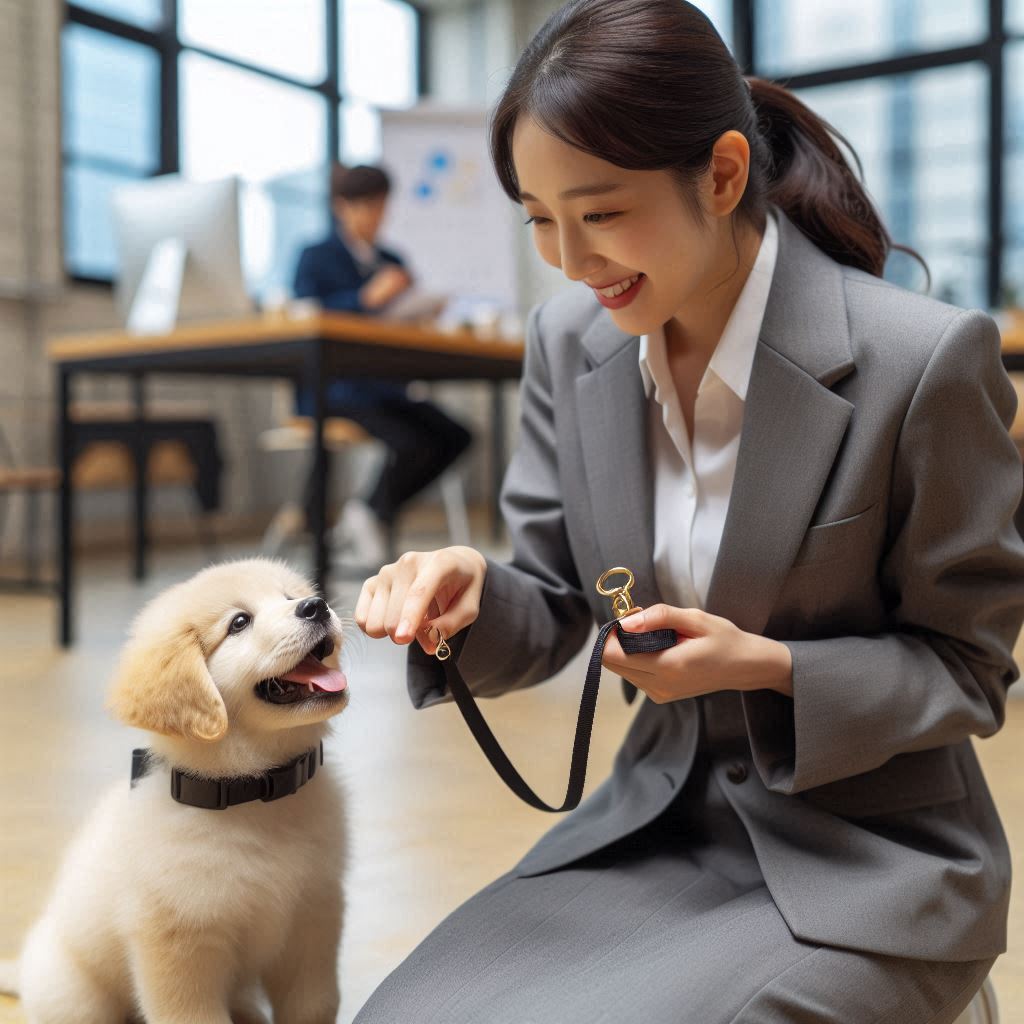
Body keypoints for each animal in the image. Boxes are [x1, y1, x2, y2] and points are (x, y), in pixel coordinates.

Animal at [16, 561, 350, 1024]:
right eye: (239, 622)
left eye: (288, 597)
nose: (315, 605)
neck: (255, 794)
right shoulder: (180, 942)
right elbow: (195, 1016)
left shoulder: (313, 918)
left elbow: (314, 1005)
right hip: (74, 996)